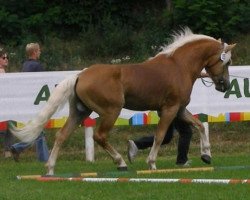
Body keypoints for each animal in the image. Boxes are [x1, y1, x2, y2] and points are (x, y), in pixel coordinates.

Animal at [10, 27, 236, 174]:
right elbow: (160, 135)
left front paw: (206, 155)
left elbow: (199, 125)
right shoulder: (170, 109)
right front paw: (151, 163)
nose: (224, 85)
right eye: (227, 61)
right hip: (111, 111)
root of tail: (80, 75)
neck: (179, 66)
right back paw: (121, 162)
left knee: (62, 135)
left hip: (80, 112)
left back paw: (50, 169)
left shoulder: (179, 109)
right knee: (99, 136)